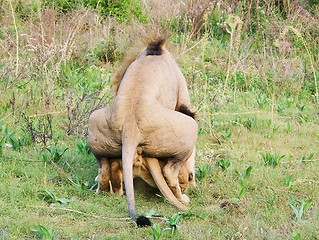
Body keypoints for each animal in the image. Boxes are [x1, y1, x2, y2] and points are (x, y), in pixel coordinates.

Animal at [87, 34, 198, 226]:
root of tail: (130, 129)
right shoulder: (183, 98)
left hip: (94, 120)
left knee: (104, 169)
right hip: (190, 127)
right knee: (169, 172)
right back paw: (183, 199)